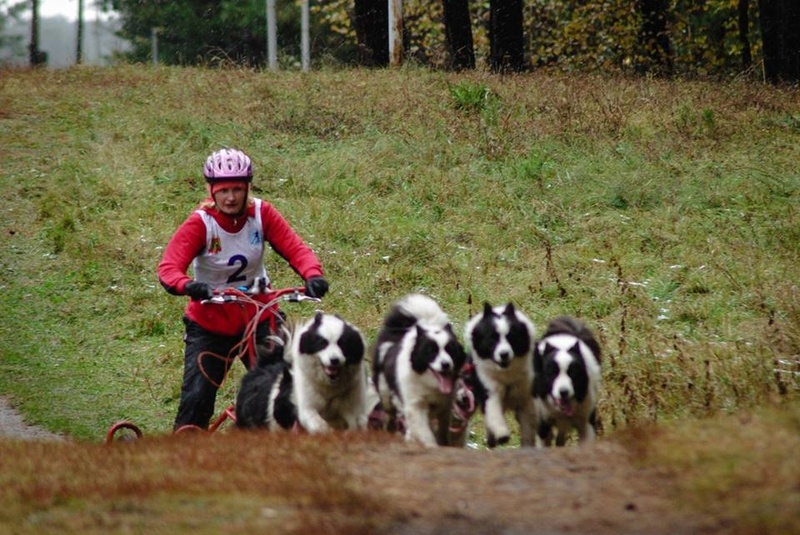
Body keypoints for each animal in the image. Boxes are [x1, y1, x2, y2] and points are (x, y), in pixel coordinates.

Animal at [372, 294, 466, 448]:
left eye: (450, 350)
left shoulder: (445, 406)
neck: (429, 382)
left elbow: (443, 430)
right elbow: (425, 434)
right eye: (431, 351)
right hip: (385, 394)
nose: (446, 364)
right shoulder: (415, 406)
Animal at [462, 302, 536, 448]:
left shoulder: (525, 397)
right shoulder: (489, 389)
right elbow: (493, 412)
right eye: (492, 339)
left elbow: (528, 425)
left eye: (512, 337)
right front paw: (502, 434)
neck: (506, 374)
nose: (504, 354)